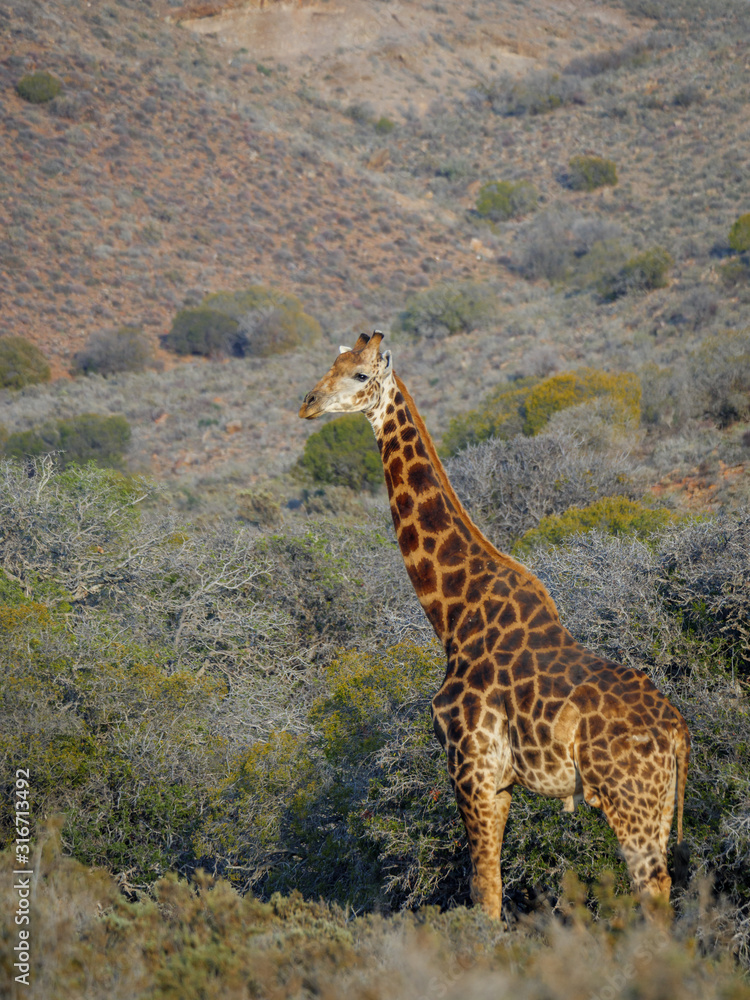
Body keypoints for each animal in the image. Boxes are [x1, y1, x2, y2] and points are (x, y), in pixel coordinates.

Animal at [300, 336, 692, 920]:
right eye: (332, 364)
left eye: (359, 375)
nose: (307, 403)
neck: (452, 615)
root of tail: (678, 732)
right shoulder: (499, 781)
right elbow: (490, 886)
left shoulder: (472, 767)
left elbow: (484, 892)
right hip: (658, 803)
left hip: (629, 800)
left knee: (653, 889)